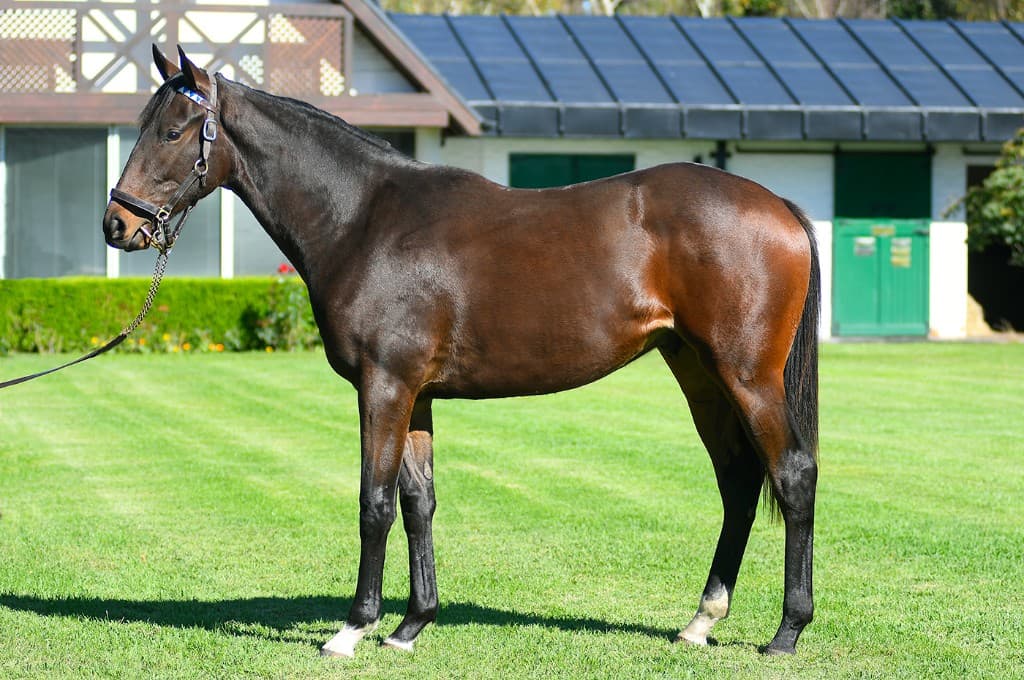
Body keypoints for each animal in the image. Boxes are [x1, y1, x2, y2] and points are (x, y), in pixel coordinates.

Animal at [103, 46, 820, 658]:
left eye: (173, 131)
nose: (118, 224)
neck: (365, 220)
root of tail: (778, 205)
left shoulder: (384, 387)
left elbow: (374, 502)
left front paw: (353, 628)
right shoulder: (415, 396)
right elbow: (418, 503)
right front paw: (410, 626)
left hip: (746, 375)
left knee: (792, 474)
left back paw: (786, 632)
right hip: (697, 373)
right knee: (738, 481)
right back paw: (701, 621)